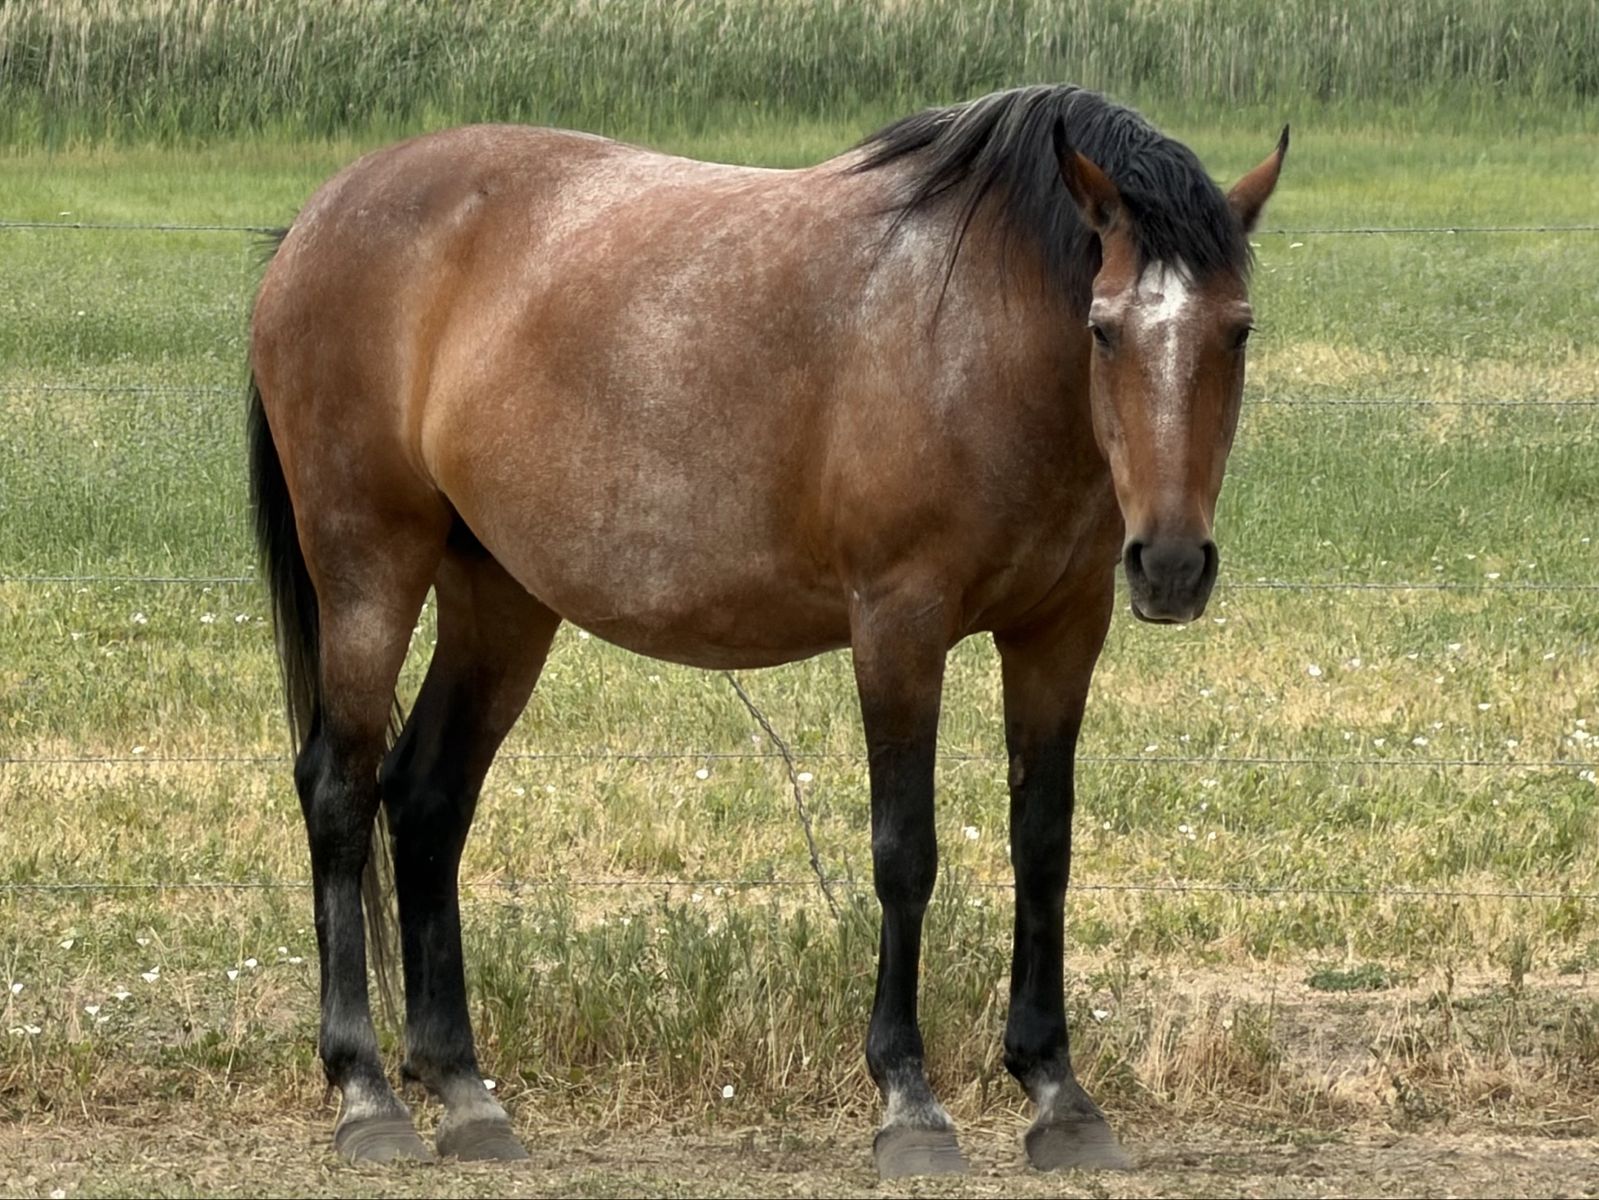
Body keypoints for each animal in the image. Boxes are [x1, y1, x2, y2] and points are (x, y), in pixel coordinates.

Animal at [247, 83, 1285, 1177]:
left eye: (1237, 330)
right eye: (1102, 328)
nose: (1171, 564)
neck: (975, 330)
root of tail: (313, 225)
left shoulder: (1061, 629)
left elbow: (1043, 847)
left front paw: (1057, 1092)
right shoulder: (898, 624)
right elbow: (904, 853)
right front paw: (909, 1102)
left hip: (500, 597)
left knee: (427, 798)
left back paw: (461, 1089)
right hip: (368, 570)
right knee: (340, 793)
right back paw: (364, 1091)